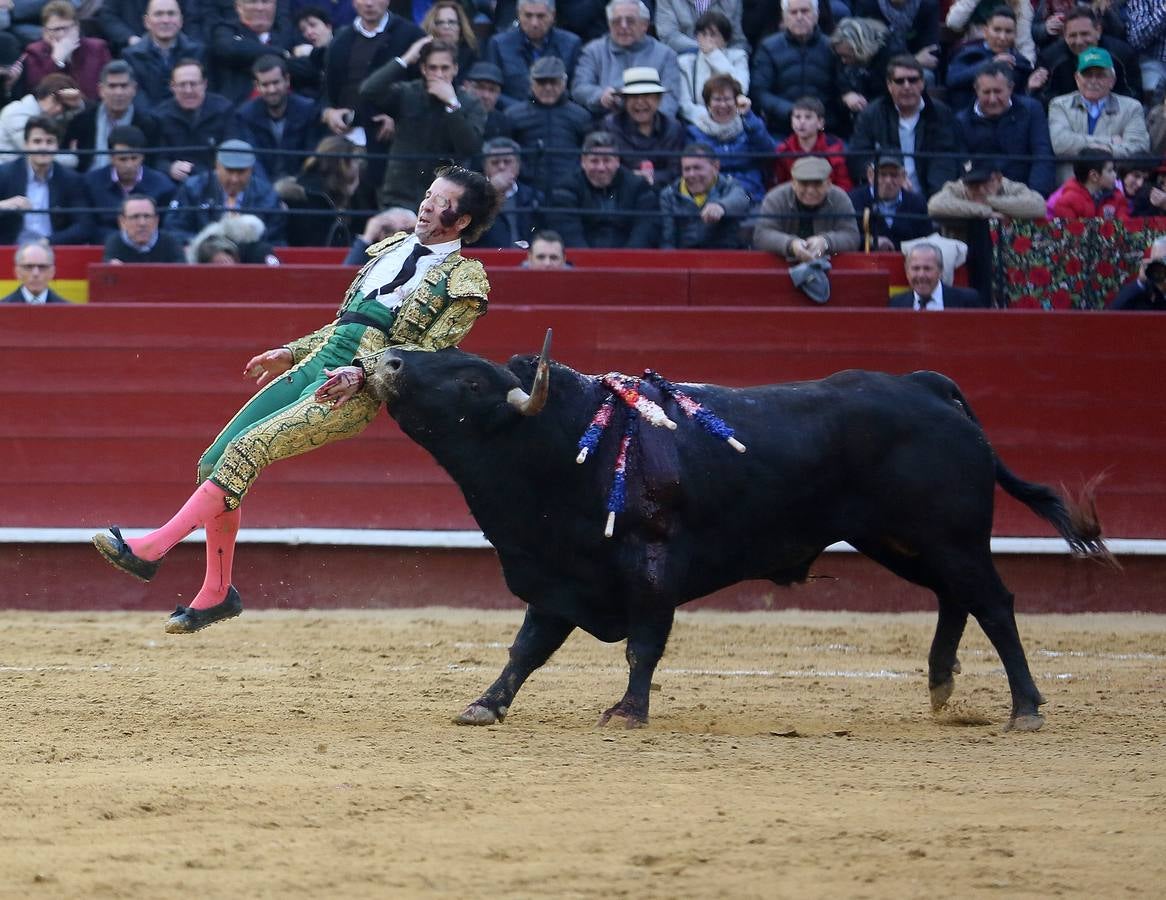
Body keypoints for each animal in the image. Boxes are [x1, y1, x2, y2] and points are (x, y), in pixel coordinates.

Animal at [366, 338, 1110, 732]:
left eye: (468, 379)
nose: (390, 361)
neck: (564, 442)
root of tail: (925, 386)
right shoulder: (560, 575)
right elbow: (527, 649)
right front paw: (484, 705)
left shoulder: (650, 564)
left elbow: (642, 644)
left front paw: (628, 712)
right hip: (904, 541)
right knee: (956, 599)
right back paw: (939, 685)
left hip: (950, 537)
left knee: (996, 605)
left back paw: (1026, 709)